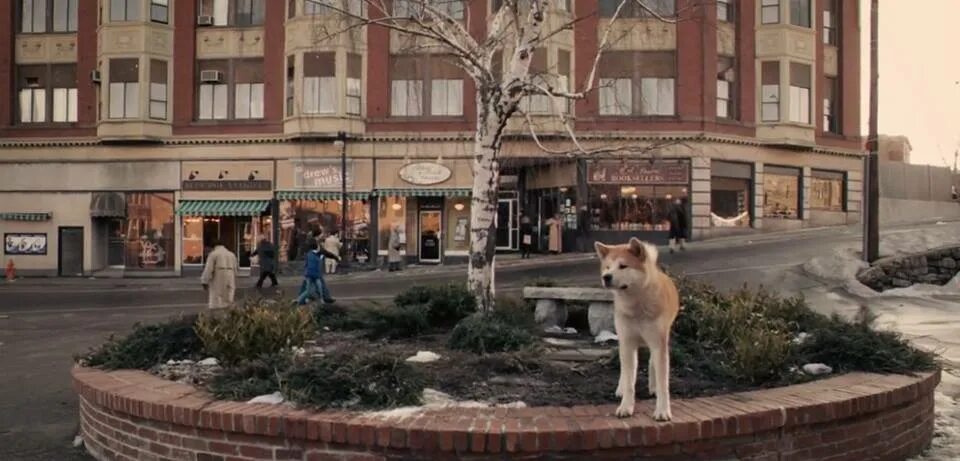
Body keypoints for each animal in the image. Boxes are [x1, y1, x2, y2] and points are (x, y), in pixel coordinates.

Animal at [592, 237, 684, 420]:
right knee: (625, 369)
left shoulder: (658, 343)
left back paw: (653, 386)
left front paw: (663, 410)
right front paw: (626, 406)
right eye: (607, 267)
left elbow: (663, 383)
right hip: (623, 340)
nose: (606, 277)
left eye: (623, 266)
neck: (636, 306)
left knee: (652, 363)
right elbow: (629, 380)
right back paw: (620, 388)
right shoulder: (628, 343)